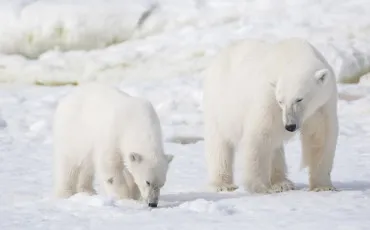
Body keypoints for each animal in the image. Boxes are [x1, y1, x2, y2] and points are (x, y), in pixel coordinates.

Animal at [204, 38, 340, 194]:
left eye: (299, 99)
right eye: (281, 101)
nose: (290, 126)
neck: (293, 54)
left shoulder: (323, 103)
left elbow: (320, 136)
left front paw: (323, 186)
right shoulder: (268, 97)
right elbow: (260, 135)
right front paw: (260, 187)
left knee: (275, 146)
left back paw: (282, 183)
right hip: (221, 102)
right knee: (220, 140)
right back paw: (222, 184)